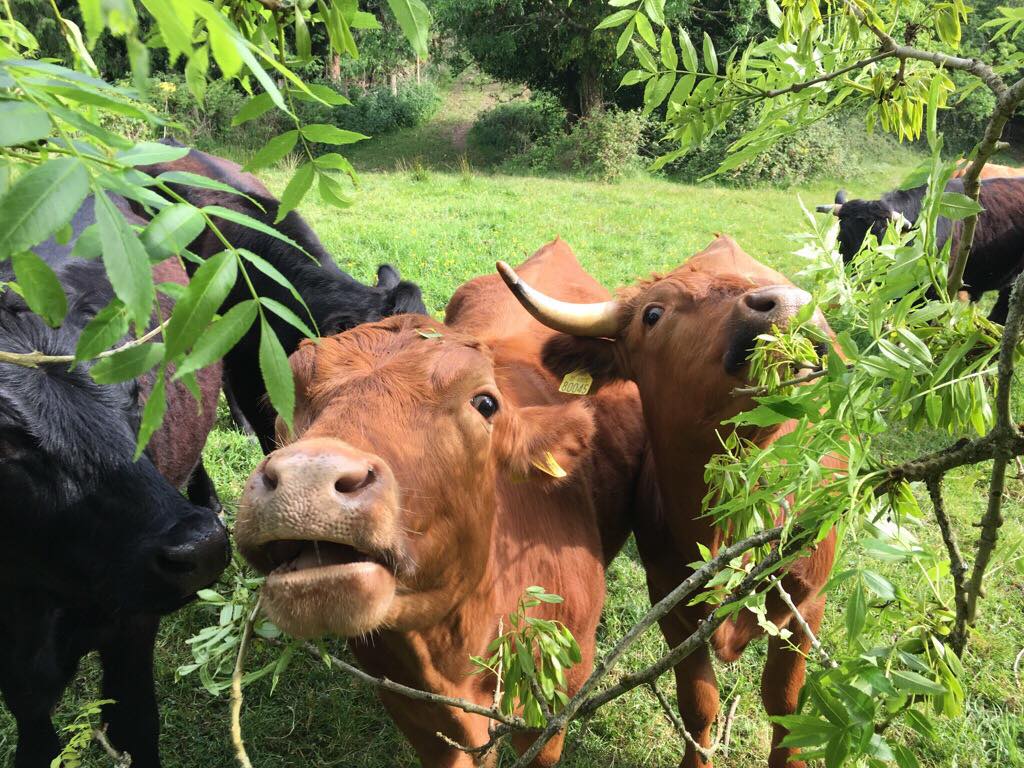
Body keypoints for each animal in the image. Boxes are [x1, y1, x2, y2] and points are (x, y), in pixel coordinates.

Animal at [0, 194, 230, 768]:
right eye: (4, 442)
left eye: (131, 394)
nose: (202, 546)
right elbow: (33, 727)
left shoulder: (130, 628)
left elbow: (135, 724)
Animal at [497, 234, 841, 768]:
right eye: (653, 314)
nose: (787, 303)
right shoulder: (671, 604)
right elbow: (699, 703)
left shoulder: (809, 602)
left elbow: (785, 705)